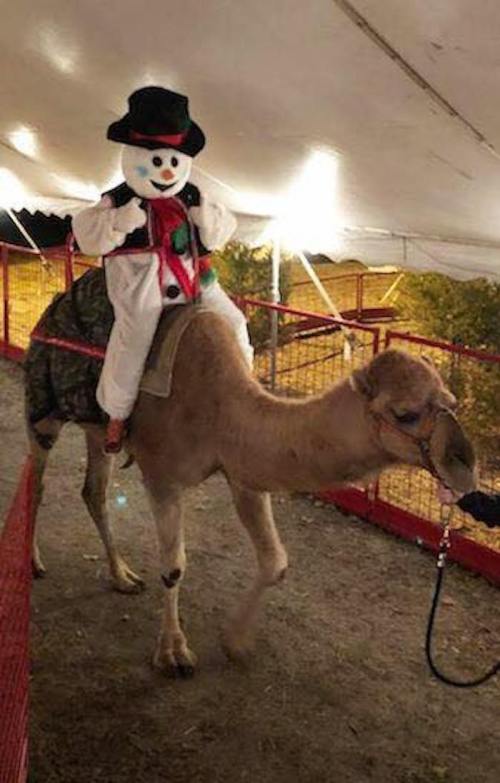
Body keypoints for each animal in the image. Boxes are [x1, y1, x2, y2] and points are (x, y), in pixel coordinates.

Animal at [25, 290, 477, 677]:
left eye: (452, 401)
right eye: (405, 413)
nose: (465, 466)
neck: (221, 406)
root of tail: (50, 308)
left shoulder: (245, 470)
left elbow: (275, 562)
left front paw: (235, 641)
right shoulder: (162, 475)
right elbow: (173, 567)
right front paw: (173, 653)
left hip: (99, 431)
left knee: (94, 490)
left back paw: (121, 576)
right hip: (42, 409)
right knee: (38, 482)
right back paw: (33, 562)